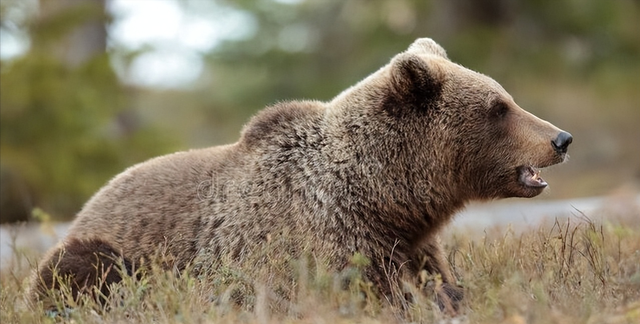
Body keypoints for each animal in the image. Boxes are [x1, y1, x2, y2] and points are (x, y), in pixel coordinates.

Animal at [28, 38, 568, 314]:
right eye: (498, 108)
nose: (561, 138)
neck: (386, 195)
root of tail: (90, 203)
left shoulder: (413, 240)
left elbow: (438, 279)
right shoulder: (321, 236)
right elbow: (365, 291)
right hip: (104, 251)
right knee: (82, 271)